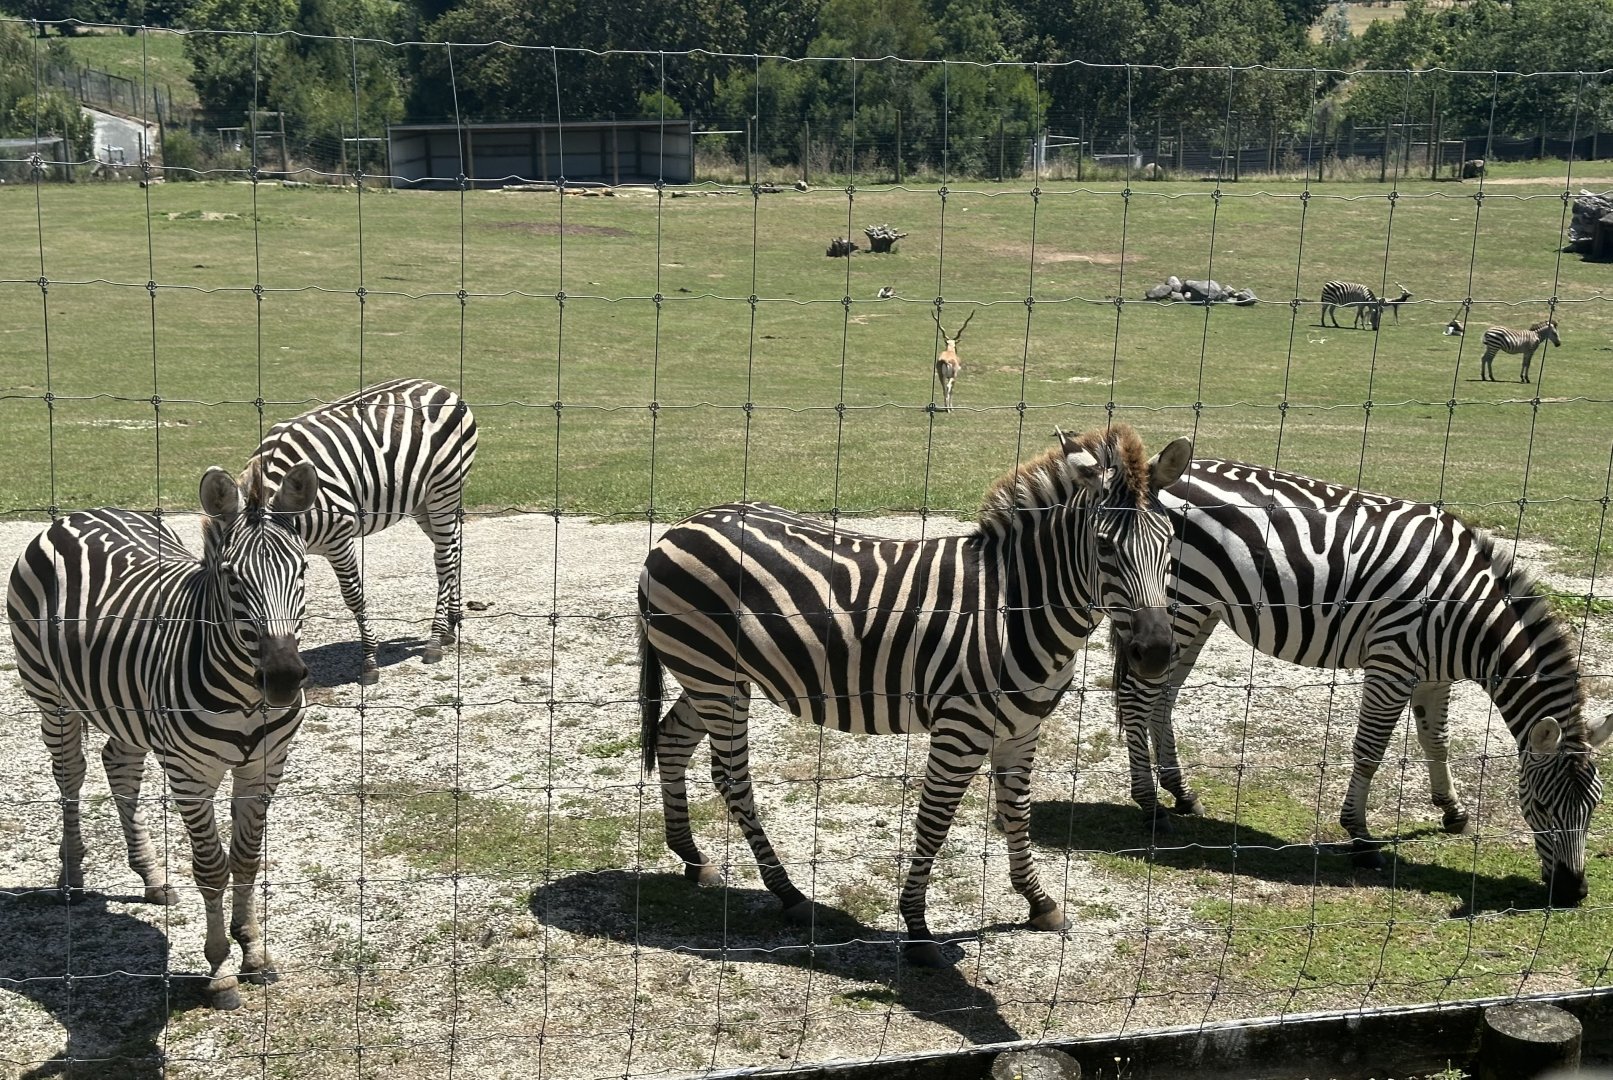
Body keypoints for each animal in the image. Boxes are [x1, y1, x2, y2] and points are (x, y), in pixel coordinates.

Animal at [6, 462, 321, 1009]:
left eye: (301, 571)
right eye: (232, 579)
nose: (283, 679)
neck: (246, 696)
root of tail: (80, 514)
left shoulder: (264, 768)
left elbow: (246, 860)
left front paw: (253, 951)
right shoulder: (190, 776)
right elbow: (212, 868)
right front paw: (220, 970)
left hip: (124, 707)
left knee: (119, 765)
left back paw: (152, 878)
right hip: (52, 697)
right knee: (70, 777)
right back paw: (71, 879)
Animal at [250, 378, 478, 683]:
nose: (273, 675)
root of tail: (441, 387)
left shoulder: (339, 539)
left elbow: (353, 596)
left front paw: (369, 660)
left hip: (445, 489)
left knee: (445, 560)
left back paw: (434, 640)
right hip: (421, 501)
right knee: (453, 549)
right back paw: (450, 627)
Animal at [638, 424, 1194, 966]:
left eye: (1171, 542)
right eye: (1104, 547)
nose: (1154, 653)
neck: (1014, 609)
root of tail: (681, 526)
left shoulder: (1023, 727)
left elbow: (1017, 811)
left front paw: (1039, 902)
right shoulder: (960, 729)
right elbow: (935, 820)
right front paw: (918, 928)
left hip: (711, 675)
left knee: (671, 741)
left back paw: (692, 857)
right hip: (712, 675)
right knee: (731, 777)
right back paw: (788, 892)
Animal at [1109, 458, 1610, 907]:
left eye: (1595, 807)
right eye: (1540, 807)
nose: (1573, 893)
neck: (1467, 616)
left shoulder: (1434, 675)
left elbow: (1437, 741)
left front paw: (1452, 810)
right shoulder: (1392, 661)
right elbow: (1370, 751)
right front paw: (1361, 837)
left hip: (1201, 611)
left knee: (1162, 699)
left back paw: (1180, 793)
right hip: (1179, 604)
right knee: (1137, 698)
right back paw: (1151, 807)